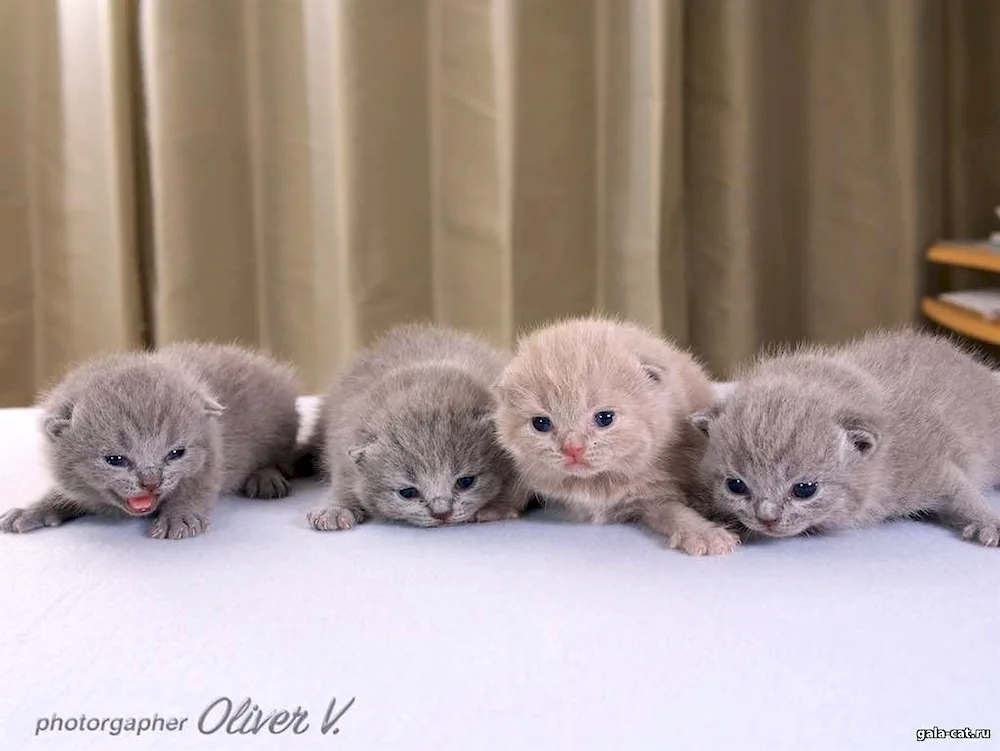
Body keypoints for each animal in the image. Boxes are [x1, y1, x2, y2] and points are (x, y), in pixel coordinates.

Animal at [0, 340, 300, 540]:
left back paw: (266, 479)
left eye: (176, 453)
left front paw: (179, 517)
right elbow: (62, 493)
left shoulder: (213, 454)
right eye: (115, 460)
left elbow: (197, 488)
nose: (151, 482)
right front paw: (33, 509)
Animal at [306, 326, 528, 532]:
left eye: (466, 481)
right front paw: (335, 509)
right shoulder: (342, 443)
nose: (442, 513)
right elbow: (343, 481)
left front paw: (498, 506)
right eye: (408, 492)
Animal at [492, 314, 736, 556]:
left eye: (605, 418)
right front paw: (498, 506)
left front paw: (704, 533)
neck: (593, 484)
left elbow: (676, 512)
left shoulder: (657, 489)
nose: (572, 448)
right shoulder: (527, 469)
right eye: (541, 423)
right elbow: (517, 487)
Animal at [692, 328, 1000, 548]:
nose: (767, 517)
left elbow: (962, 491)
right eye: (735, 485)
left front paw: (989, 522)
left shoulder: (925, 464)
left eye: (805, 489)